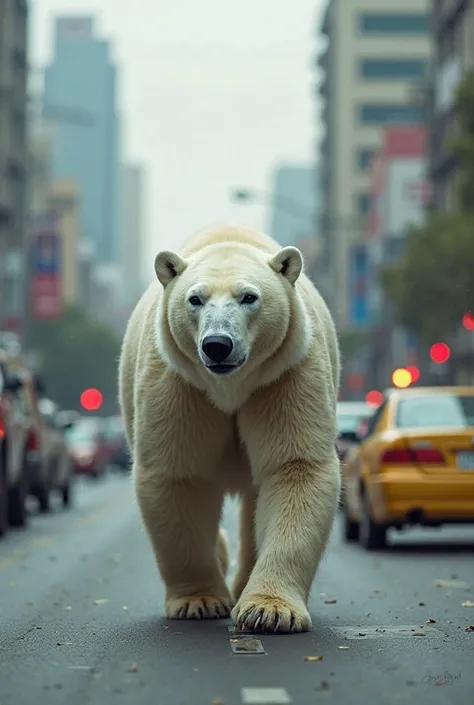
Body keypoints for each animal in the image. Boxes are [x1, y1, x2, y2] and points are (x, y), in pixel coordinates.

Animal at [118, 224, 340, 632]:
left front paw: (269, 611)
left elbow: (294, 467)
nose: (218, 345)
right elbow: (178, 474)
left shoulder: (282, 374)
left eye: (249, 297)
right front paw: (200, 601)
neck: (230, 386)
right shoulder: (180, 381)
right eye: (195, 299)